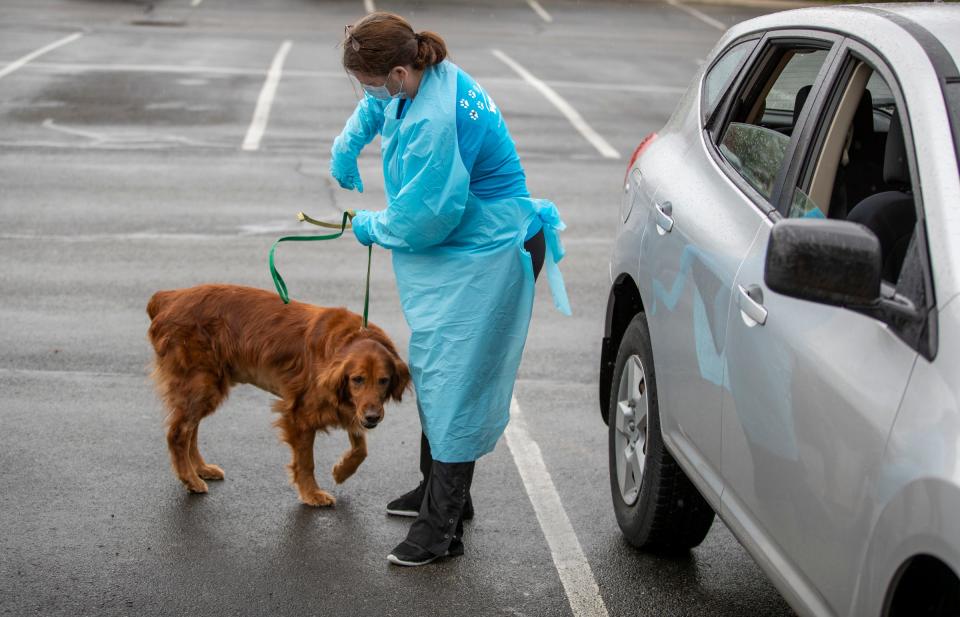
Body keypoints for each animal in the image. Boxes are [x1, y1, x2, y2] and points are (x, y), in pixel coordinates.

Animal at [146, 284, 408, 506]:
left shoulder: (350, 407)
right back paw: (190, 479)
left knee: (191, 431)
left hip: (204, 387)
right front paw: (312, 494)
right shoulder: (300, 414)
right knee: (178, 434)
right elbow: (306, 462)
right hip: (201, 385)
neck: (345, 341)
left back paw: (200, 469)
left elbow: (361, 447)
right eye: (357, 379)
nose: (373, 417)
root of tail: (168, 297)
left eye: (383, 380)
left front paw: (342, 471)